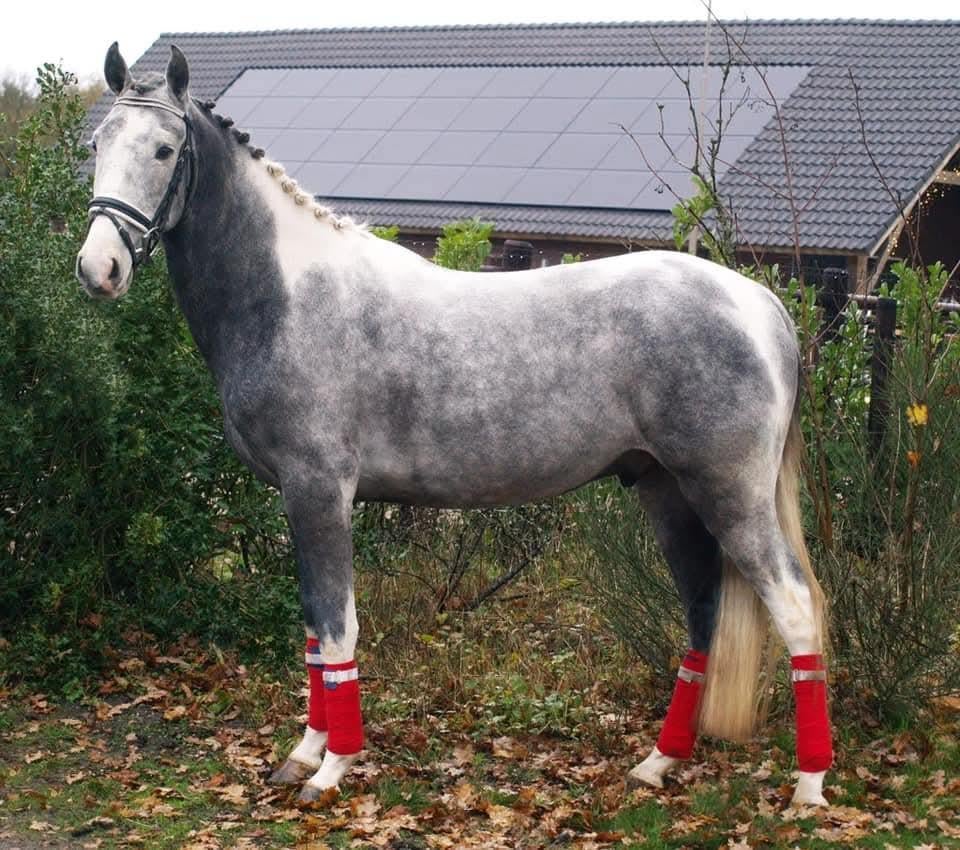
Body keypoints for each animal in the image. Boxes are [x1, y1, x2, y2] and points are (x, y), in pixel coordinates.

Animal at [76, 43, 834, 807]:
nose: (98, 268)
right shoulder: (296, 499)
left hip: (729, 495)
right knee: (703, 613)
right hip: (666, 491)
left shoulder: (320, 491)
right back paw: (658, 762)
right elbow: (315, 631)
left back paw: (808, 787)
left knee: (798, 607)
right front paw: (303, 752)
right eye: (97, 146)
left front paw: (332, 767)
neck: (288, 295)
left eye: (165, 149)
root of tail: (759, 301)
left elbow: (339, 629)